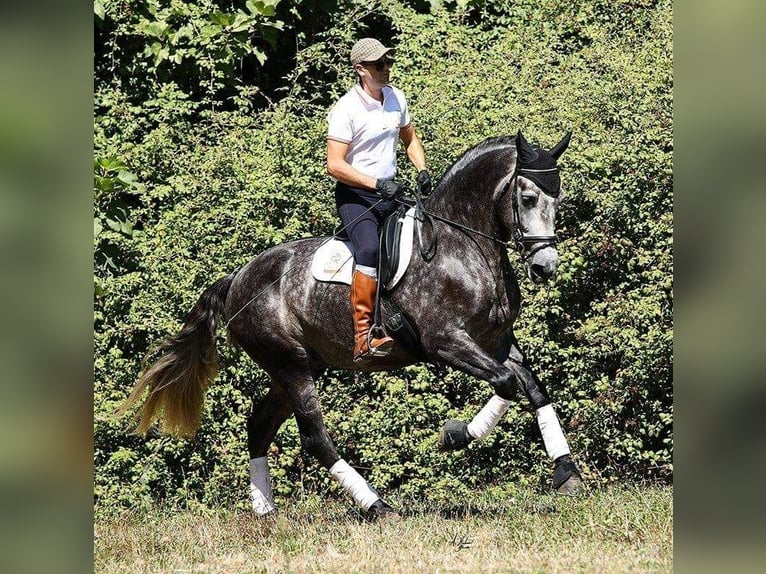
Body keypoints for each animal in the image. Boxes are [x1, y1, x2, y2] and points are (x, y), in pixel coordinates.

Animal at [120, 133, 584, 520]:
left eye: (558, 198)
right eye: (527, 197)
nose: (545, 266)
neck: (464, 246)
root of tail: (238, 278)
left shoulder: (497, 340)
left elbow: (532, 387)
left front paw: (567, 473)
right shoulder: (446, 342)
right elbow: (506, 383)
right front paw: (454, 436)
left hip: (296, 367)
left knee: (260, 425)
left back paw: (265, 510)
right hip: (290, 364)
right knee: (314, 438)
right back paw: (377, 506)